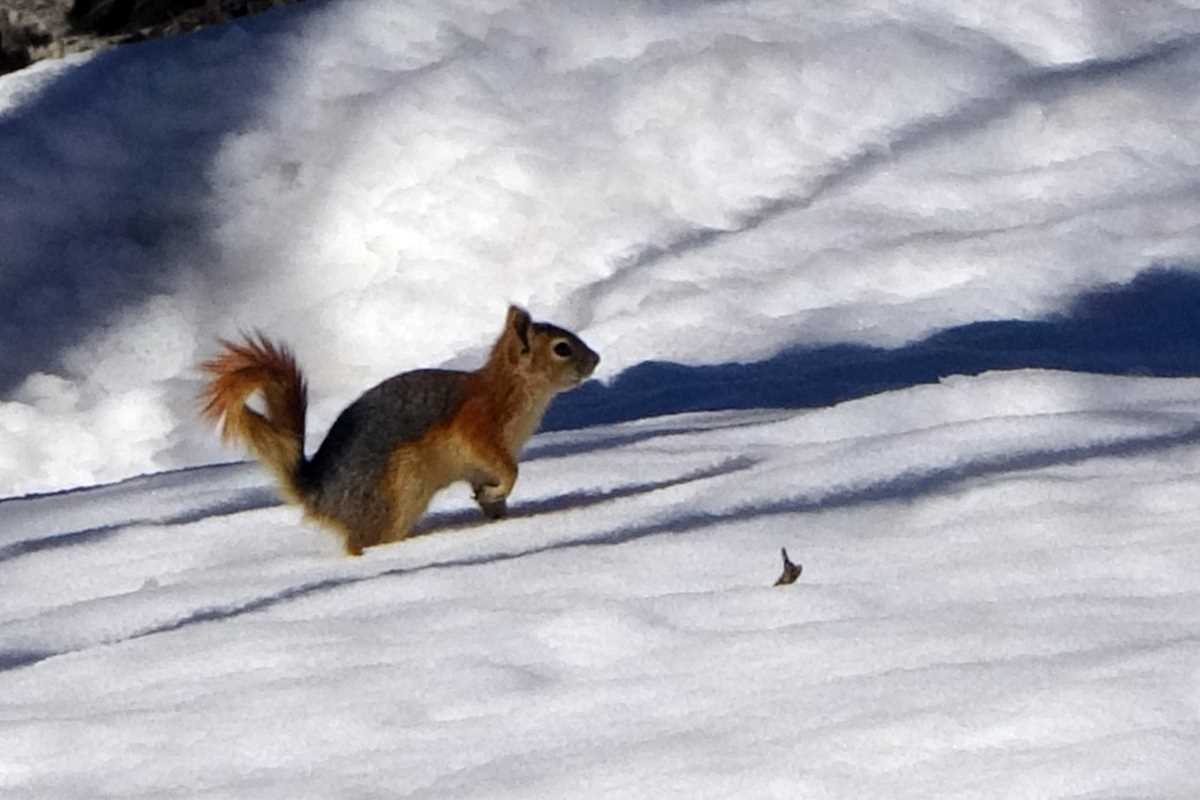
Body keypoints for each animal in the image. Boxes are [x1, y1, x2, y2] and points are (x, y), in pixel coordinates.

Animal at [206, 303, 604, 554]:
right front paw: (502, 493)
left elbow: (490, 486)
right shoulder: (477, 426)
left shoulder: (480, 465)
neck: (510, 391)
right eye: (562, 348)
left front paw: (500, 514)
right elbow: (509, 469)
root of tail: (319, 496)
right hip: (395, 496)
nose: (597, 358)